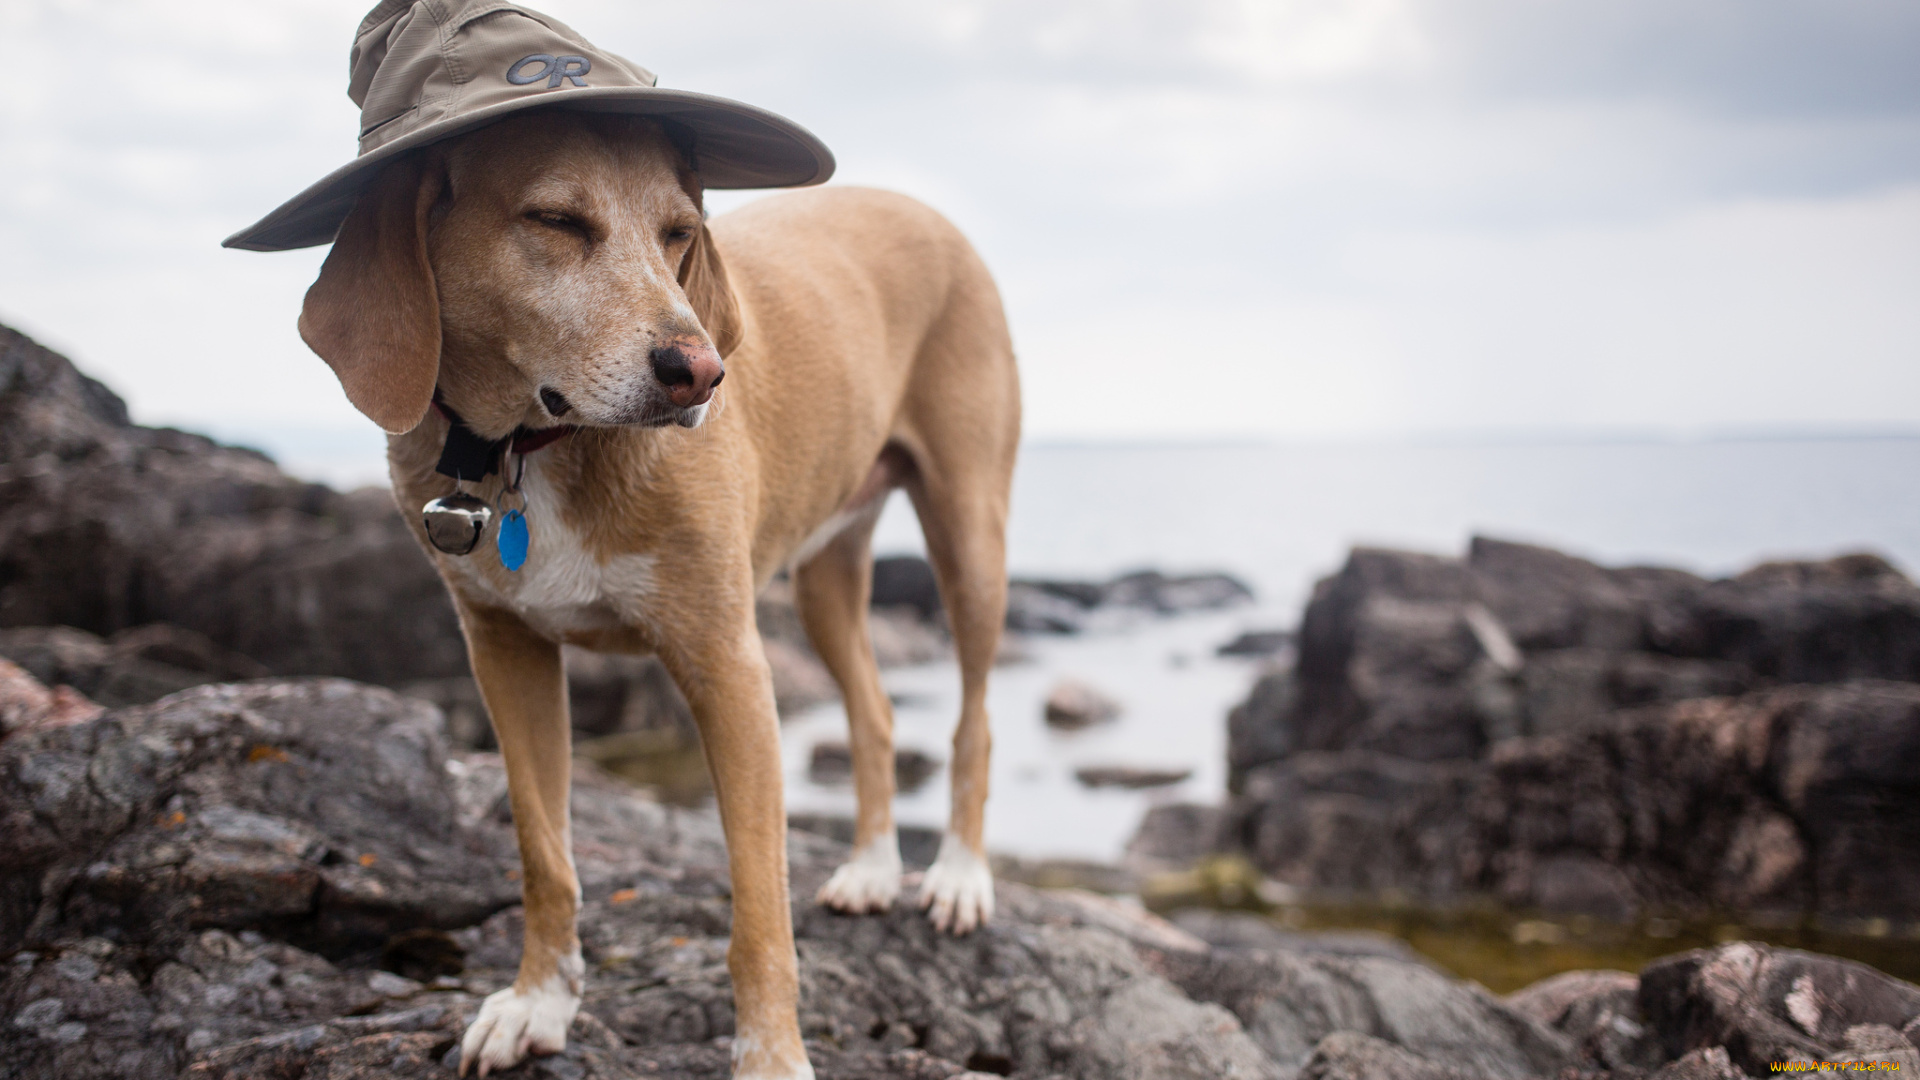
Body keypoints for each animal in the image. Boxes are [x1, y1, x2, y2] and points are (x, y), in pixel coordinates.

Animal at [295, 111, 1021, 1076]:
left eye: (681, 232)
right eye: (555, 220)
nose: (701, 372)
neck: (537, 446)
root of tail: (920, 206)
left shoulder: (728, 668)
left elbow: (759, 911)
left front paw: (772, 1057)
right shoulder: (505, 653)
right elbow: (544, 853)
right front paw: (540, 1001)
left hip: (970, 537)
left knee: (976, 717)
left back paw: (960, 876)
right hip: (826, 574)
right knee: (873, 709)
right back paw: (872, 867)